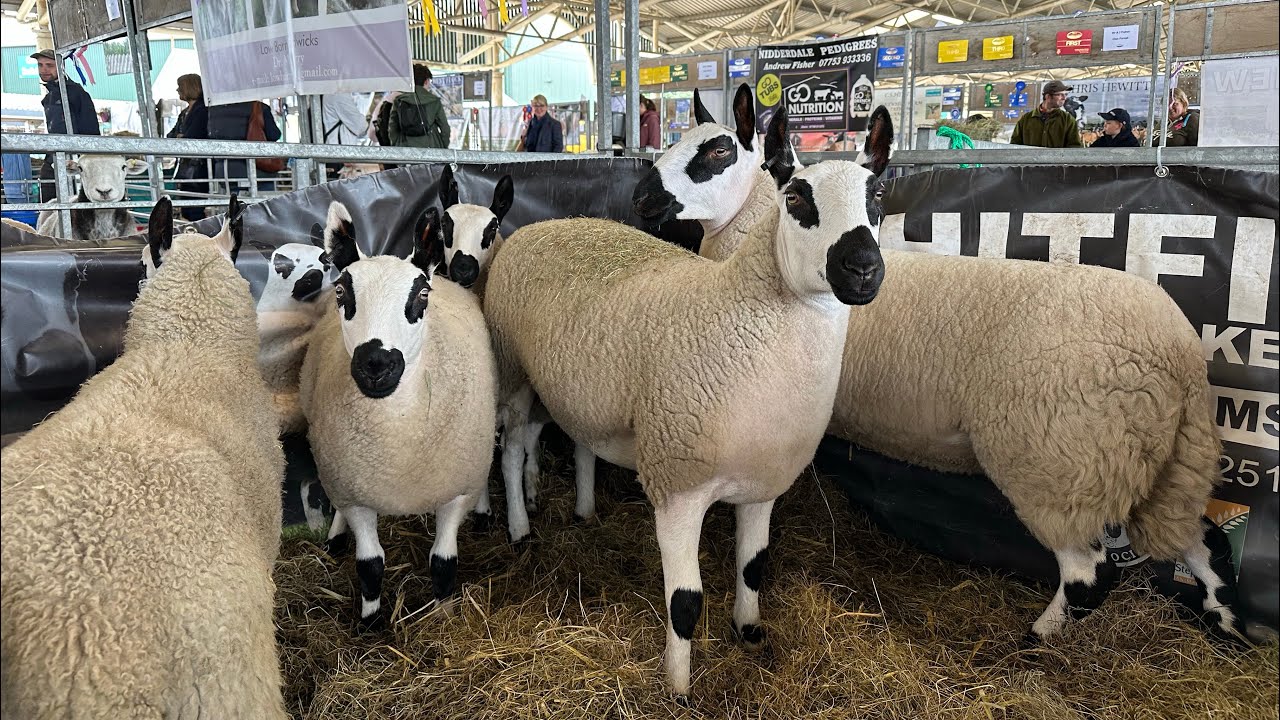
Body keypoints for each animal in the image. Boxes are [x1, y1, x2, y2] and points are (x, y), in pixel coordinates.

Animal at [299, 200, 497, 626]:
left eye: (421, 294)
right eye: (341, 291)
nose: (376, 363)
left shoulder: (454, 489)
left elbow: (443, 562)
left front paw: (443, 614)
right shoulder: (354, 489)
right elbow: (370, 566)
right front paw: (371, 621)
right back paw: (335, 538)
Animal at [482, 105, 891, 697]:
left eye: (878, 194)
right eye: (795, 198)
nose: (861, 267)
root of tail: (546, 223)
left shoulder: (764, 482)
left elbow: (753, 567)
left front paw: (749, 631)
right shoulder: (676, 485)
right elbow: (684, 603)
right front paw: (678, 686)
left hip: (583, 391)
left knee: (577, 442)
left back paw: (583, 507)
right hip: (512, 369)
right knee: (512, 451)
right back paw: (518, 526)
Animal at [631, 90, 1245, 642]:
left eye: (717, 151)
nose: (639, 196)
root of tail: (1178, 351)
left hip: (1060, 466)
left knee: (1089, 575)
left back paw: (1035, 640)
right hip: (1170, 465)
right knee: (1202, 540)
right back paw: (1225, 623)